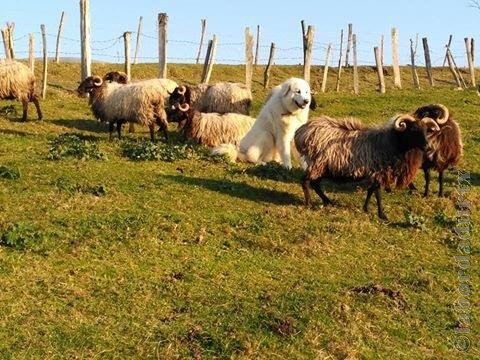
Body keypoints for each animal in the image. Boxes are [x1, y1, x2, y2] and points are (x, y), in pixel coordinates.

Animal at [294, 114, 440, 219]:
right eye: (413, 129)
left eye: (426, 130)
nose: (428, 147)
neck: (393, 143)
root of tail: (301, 133)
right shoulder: (379, 172)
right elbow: (377, 193)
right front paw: (382, 215)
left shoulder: (375, 173)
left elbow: (371, 191)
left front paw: (366, 208)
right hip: (317, 164)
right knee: (305, 182)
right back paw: (309, 204)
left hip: (322, 167)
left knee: (315, 184)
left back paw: (328, 201)